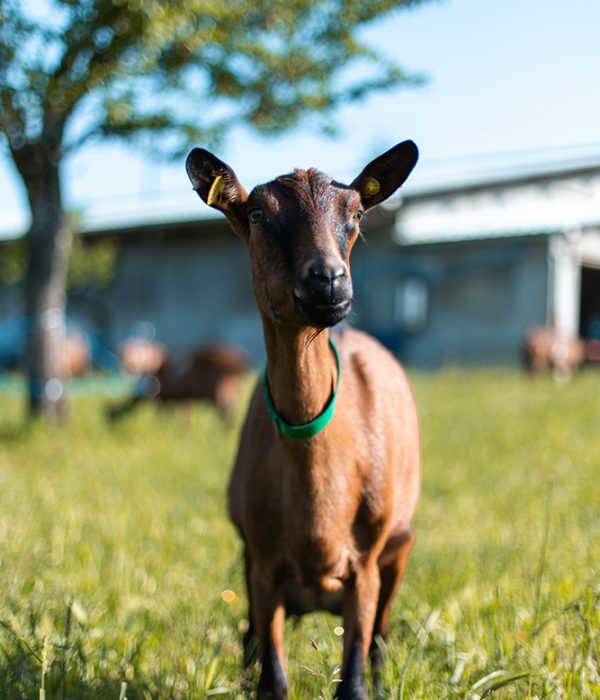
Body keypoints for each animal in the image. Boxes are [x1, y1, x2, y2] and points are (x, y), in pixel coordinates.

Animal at [188, 142, 422, 700]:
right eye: (256, 213)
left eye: (356, 214)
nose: (328, 281)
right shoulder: (262, 565)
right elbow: (272, 679)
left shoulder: (365, 566)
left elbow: (354, 681)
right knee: (249, 639)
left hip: (399, 548)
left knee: (381, 641)